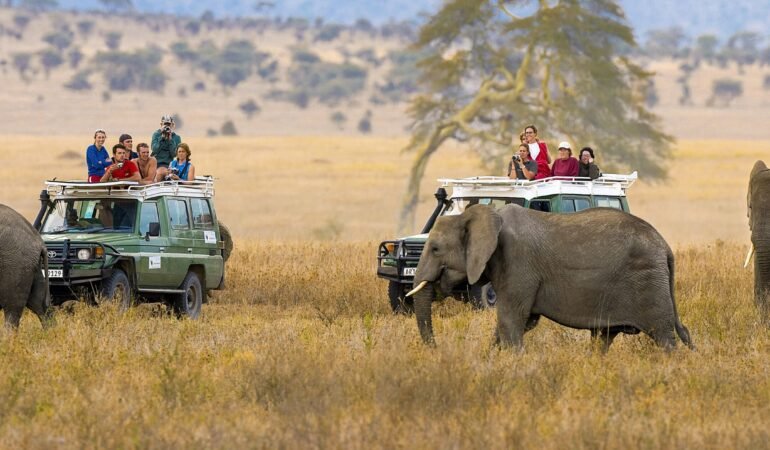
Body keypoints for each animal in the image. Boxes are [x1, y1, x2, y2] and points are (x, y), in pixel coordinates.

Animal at [412, 205, 692, 352]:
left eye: (435, 249)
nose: (436, 350)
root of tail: (665, 247)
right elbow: (522, 322)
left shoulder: (518, 263)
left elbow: (511, 319)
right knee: (603, 337)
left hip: (648, 284)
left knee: (664, 336)